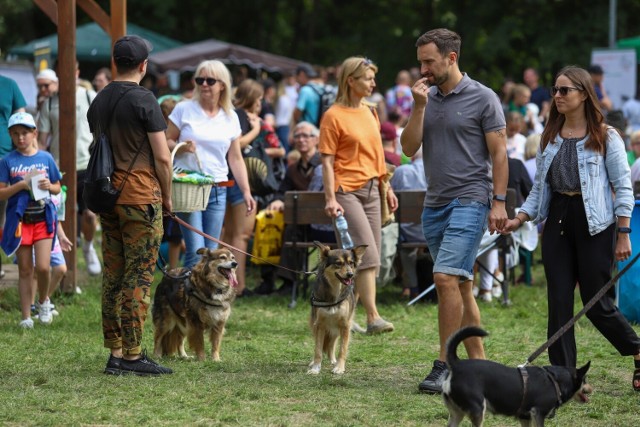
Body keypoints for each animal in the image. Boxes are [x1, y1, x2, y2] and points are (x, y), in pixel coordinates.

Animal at [308, 242, 368, 376]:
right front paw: (315, 368)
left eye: (351, 263)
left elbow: (342, 349)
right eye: (338, 263)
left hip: (335, 329)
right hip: (316, 325)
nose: (350, 274)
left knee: (331, 345)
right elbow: (317, 349)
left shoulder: (345, 325)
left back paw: (333, 360)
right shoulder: (319, 325)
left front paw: (339, 367)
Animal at [442, 330, 592, 426]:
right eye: (585, 380)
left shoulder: (524, 417)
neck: (555, 380)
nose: (592, 389)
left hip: (457, 413)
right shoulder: (538, 413)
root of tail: (457, 364)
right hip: (478, 409)